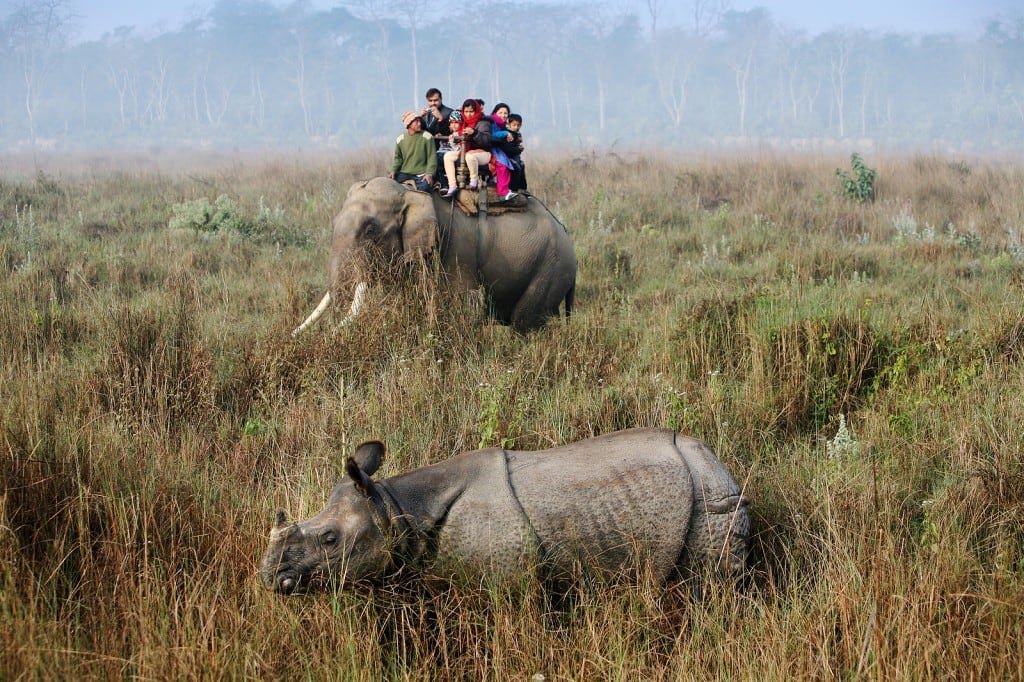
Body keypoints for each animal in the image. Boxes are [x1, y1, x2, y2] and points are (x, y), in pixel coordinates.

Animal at [292, 176, 577, 333]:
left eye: (370, 230)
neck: (410, 191)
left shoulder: (456, 248)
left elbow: (459, 305)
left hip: (551, 267)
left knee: (525, 323)